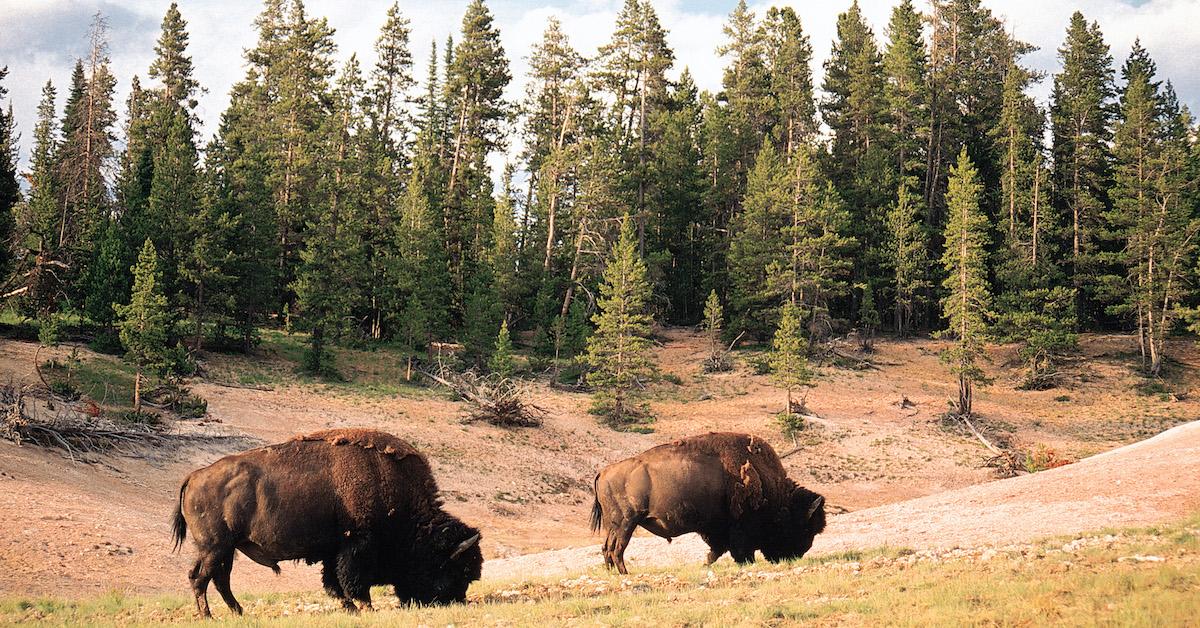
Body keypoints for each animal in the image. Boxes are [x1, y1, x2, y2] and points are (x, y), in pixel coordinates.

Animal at [171, 429, 480, 614]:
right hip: (215, 547)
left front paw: (350, 608)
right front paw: (366, 608)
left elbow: (334, 582)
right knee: (201, 578)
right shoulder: (358, 546)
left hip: (224, 549)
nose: (455, 602)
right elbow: (353, 581)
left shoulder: (335, 551)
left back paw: (238, 613)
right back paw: (209, 616)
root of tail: (195, 475)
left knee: (217, 579)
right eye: (457, 570)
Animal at [590, 432, 825, 573]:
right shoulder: (739, 528)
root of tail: (604, 472)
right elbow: (737, 550)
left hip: (616, 525)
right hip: (626, 523)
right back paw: (624, 573)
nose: (795, 555)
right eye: (805, 529)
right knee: (617, 549)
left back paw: (613, 573)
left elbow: (717, 550)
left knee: (607, 548)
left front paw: (705, 564)